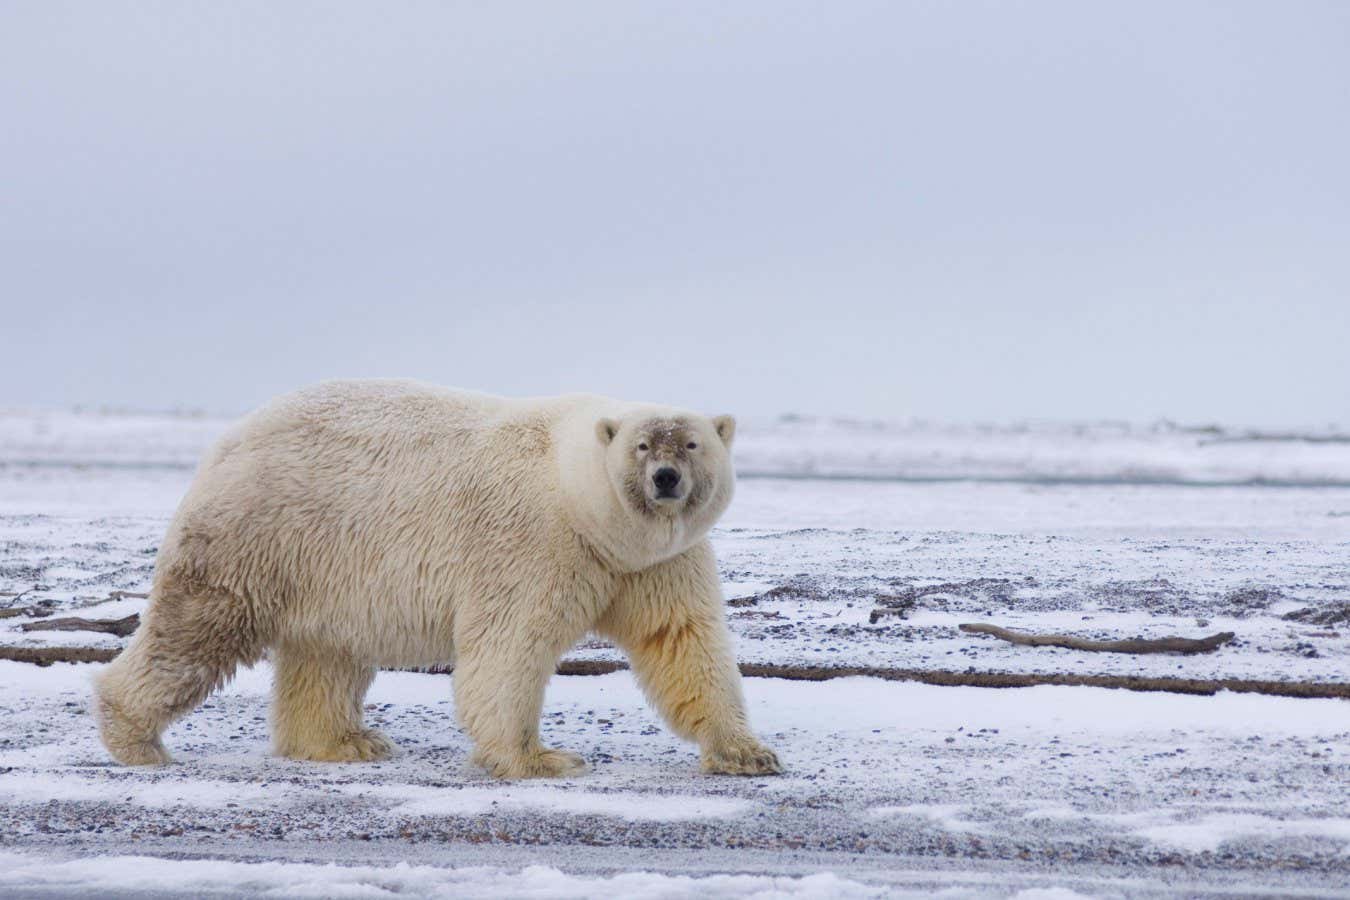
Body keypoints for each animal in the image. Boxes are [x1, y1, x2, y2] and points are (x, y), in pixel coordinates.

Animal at [94, 379, 782, 779]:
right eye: (642, 446)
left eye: (691, 444)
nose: (666, 479)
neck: (579, 495)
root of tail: (228, 440)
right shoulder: (536, 544)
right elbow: (508, 648)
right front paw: (541, 757)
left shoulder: (653, 563)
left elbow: (682, 642)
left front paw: (748, 753)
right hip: (260, 534)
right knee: (198, 630)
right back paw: (135, 738)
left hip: (328, 566)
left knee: (329, 654)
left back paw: (346, 742)